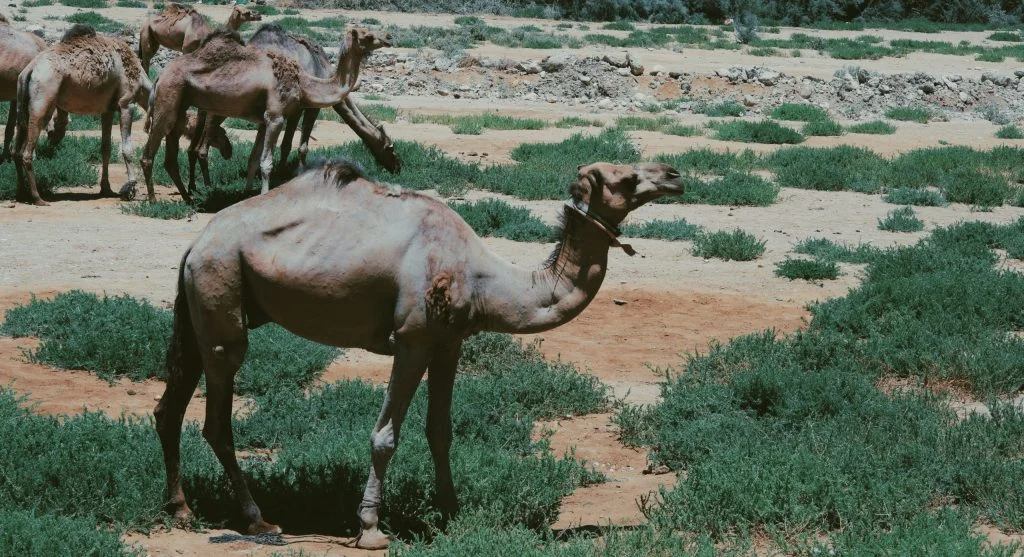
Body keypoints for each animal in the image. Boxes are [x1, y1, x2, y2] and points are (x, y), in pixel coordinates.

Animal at [0, 14, 68, 164]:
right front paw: (33, 155)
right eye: (61, 123)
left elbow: (10, 128)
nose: (55, 143)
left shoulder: (16, 95)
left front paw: (5, 157)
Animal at [13, 25, 151, 205]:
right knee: (27, 153)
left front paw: (106, 189)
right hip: (42, 100)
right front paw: (130, 188)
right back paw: (38, 198)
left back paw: (21, 193)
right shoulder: (126, 103)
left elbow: (105, 148)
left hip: (22, 106)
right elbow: (127, 149)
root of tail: (29, 70)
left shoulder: (107, 110)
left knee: (16, 150)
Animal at [141, 27, 388, 202]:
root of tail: (160, 76)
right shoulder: (276, 116)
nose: (388, 37)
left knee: (171, 157)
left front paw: (246, 195)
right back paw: (154, 199)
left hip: (180, 105)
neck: (304, 82)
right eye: (367, 35)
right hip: (168, 99)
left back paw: (187, 196)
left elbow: (253, 159)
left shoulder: (263, 121)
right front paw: (264, 194)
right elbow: (266, 162)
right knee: (149, 153)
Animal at [154, 159, 684, 549]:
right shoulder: (411, 340)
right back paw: (258, 521)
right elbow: (386, 434)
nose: (674, 174)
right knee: (216, 418)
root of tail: (193, 244)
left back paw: (180, 508)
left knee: (169, 407)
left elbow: (440, 431)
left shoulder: (449, 343)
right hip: (221, 293)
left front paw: (451, 510)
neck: (485, 280)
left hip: (205, 306)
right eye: (624, 177)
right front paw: (370, 528)